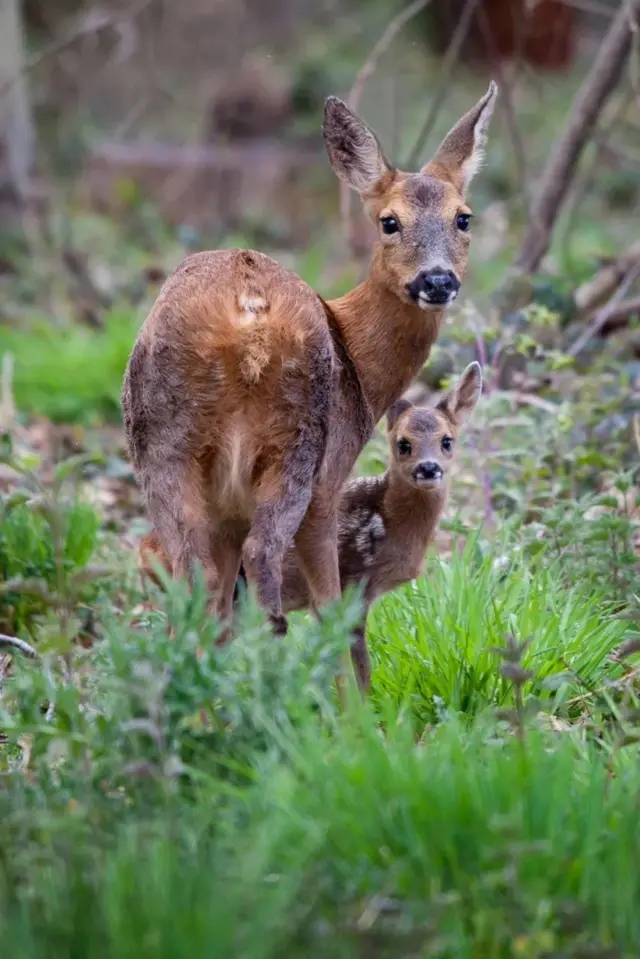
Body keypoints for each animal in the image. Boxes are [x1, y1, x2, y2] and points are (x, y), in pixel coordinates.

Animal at [121, 80, 500, 668]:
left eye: (464, 217)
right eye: (389, 221)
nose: (437, 281)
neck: (358, 361)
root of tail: (246, 310)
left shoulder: (228, 510)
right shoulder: (331, 479)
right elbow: (331, 607)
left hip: (160, 439)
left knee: (192, 575)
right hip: (296, 444)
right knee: (264, 562)